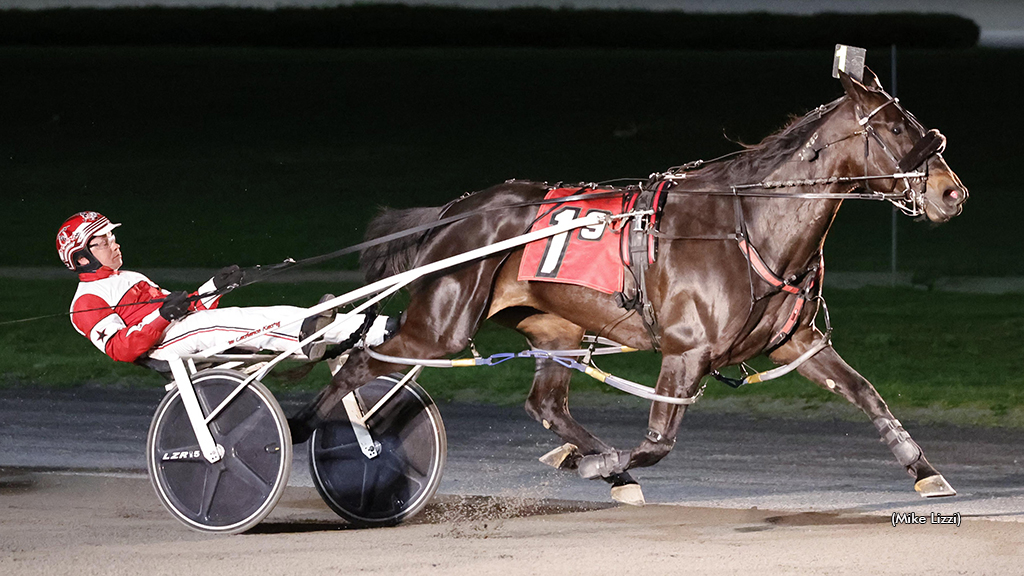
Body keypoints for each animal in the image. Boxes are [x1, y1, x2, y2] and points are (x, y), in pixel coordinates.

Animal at [288, 66, 966, 502]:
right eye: (899, 128)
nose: (951, 192)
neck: (750, 223)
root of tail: (456, 209)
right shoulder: (686, 351)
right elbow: (658, 440)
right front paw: (603, 464)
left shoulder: (795, 342)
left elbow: (867, 394)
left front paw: (924, 471)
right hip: (443, 324)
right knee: (358, 360)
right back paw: (295, 431)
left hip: (555, 328)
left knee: (545, 404)